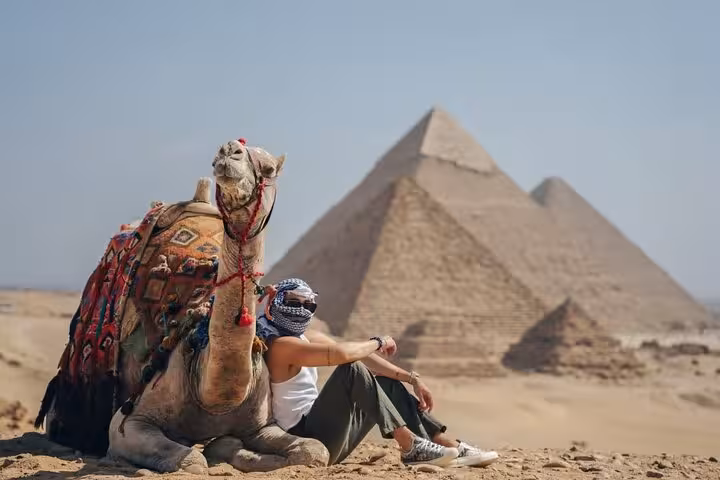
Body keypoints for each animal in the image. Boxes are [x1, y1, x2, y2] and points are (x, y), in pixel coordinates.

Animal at [35, 139, 330, 474]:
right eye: (222, 154)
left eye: (268, 169)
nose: (229, 150)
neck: (214, 394)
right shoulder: (129, 419)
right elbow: (192, 461)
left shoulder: (262, 425)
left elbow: (314, 451)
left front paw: (236, 450)